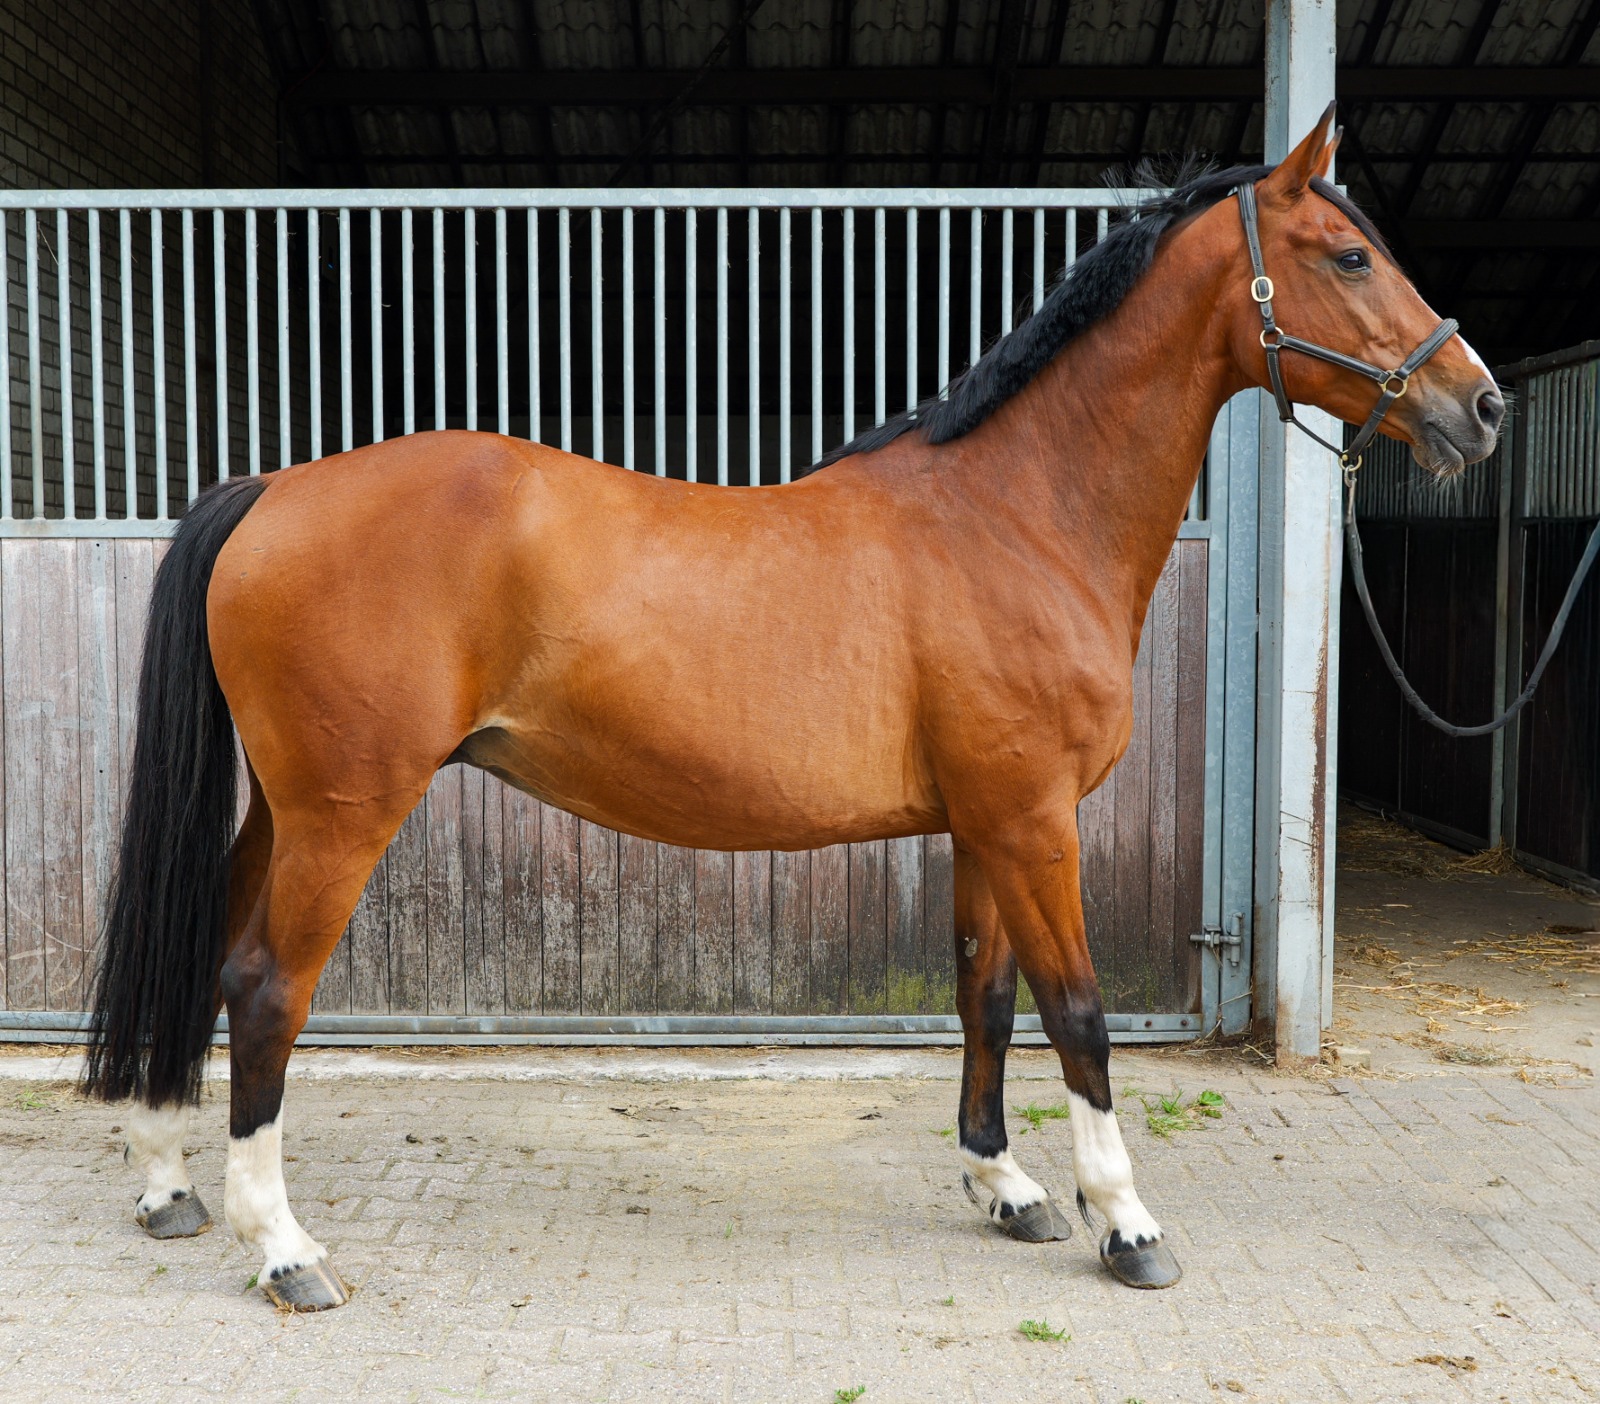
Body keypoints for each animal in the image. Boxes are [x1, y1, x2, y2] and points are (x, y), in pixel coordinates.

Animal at [83, 107, 1502, 1310]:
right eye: (1348, 256)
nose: (1478, 405)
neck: (1015, 515)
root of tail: (274, 489)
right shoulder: (1034, 821)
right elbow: (1080, 1013)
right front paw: (1127, 1224)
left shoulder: (985, 824)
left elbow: (985, 994)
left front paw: (1007, 1187)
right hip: (344, 812)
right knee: (267, 986)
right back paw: (285, 1249)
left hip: (286, 809)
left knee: (206, 954)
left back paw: (167, 1184)